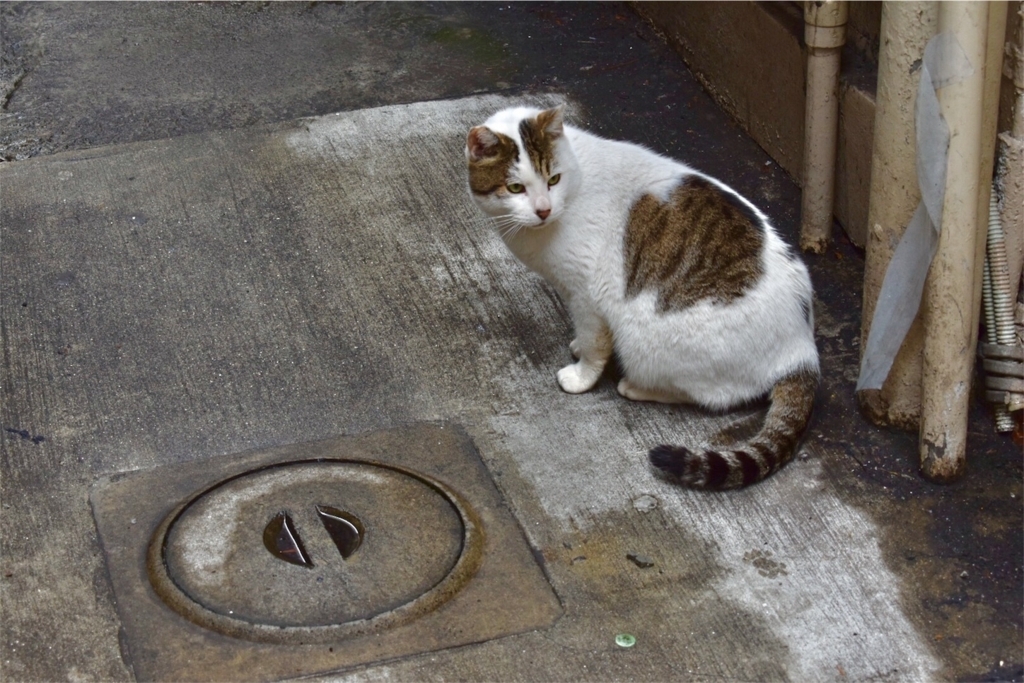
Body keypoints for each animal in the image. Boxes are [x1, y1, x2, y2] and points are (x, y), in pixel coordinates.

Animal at [468, 105, 819, 491]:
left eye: (554, 180)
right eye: (515, 188)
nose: (543, 209)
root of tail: (802, 350)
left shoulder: (587, 297)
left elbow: (593, 345)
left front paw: (582, 376)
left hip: (648, 339)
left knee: (712, 395)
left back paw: (635, 386)